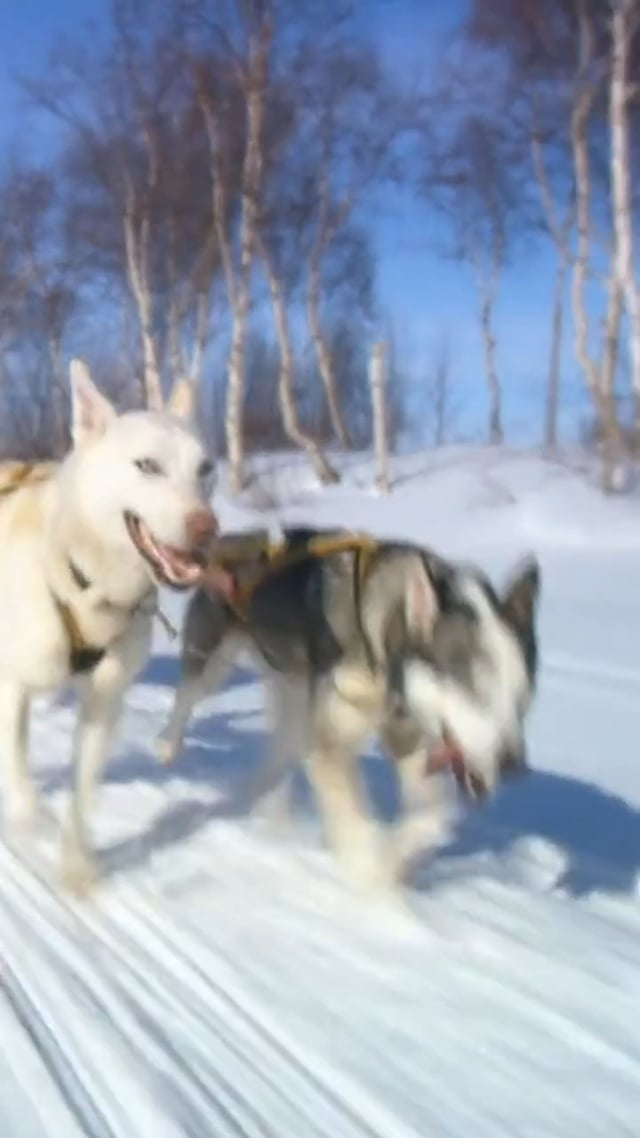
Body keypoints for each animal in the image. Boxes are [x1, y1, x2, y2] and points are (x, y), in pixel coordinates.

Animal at [0, 359, 222, 892]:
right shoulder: (10, 684)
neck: (84, 581)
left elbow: (83, 789)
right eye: (147, 466)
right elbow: (17, 774)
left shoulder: (105, 698)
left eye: (205, 469)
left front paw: (76, 865)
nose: (207, 529)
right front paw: (32, 819)